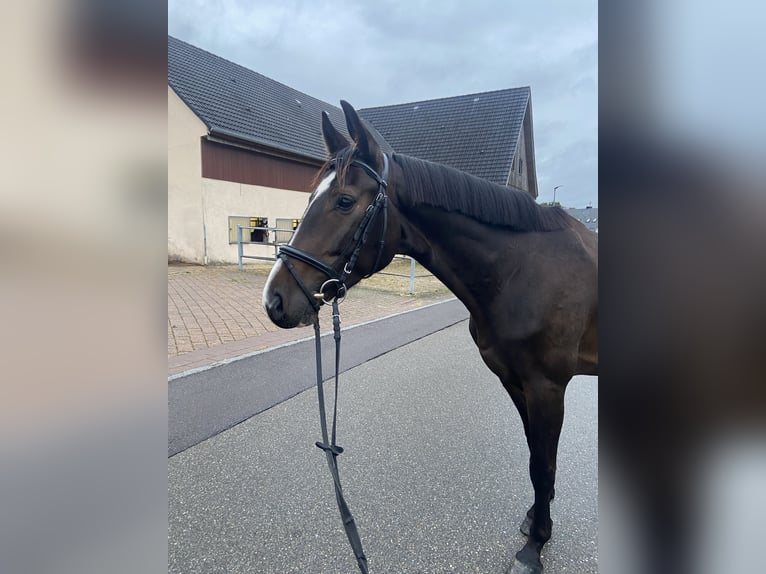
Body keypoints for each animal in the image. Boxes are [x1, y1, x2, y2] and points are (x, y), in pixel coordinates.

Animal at [264, 101, 600, 572]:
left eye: (345, 201)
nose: (275, 300)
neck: (523, 271)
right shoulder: (516, 383)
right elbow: (537, 455)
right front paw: (537, 520)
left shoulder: (546, 387)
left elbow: (543, 465)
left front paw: (534, 547)